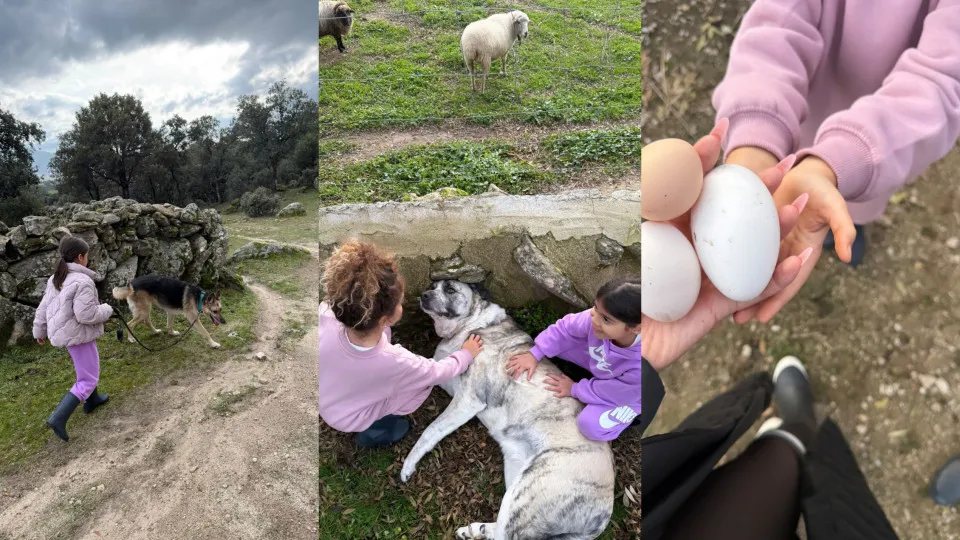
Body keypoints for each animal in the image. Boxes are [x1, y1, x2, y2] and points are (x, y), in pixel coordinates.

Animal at [404, 280, 616, 540]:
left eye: (450, 289)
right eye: (433, 286)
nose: (424, 295)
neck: (474, 323)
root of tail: (602, 518)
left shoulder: (468, 400)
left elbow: (430, 431)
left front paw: (408, 465)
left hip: (527, 490)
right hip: (515, 469)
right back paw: (476, 529)